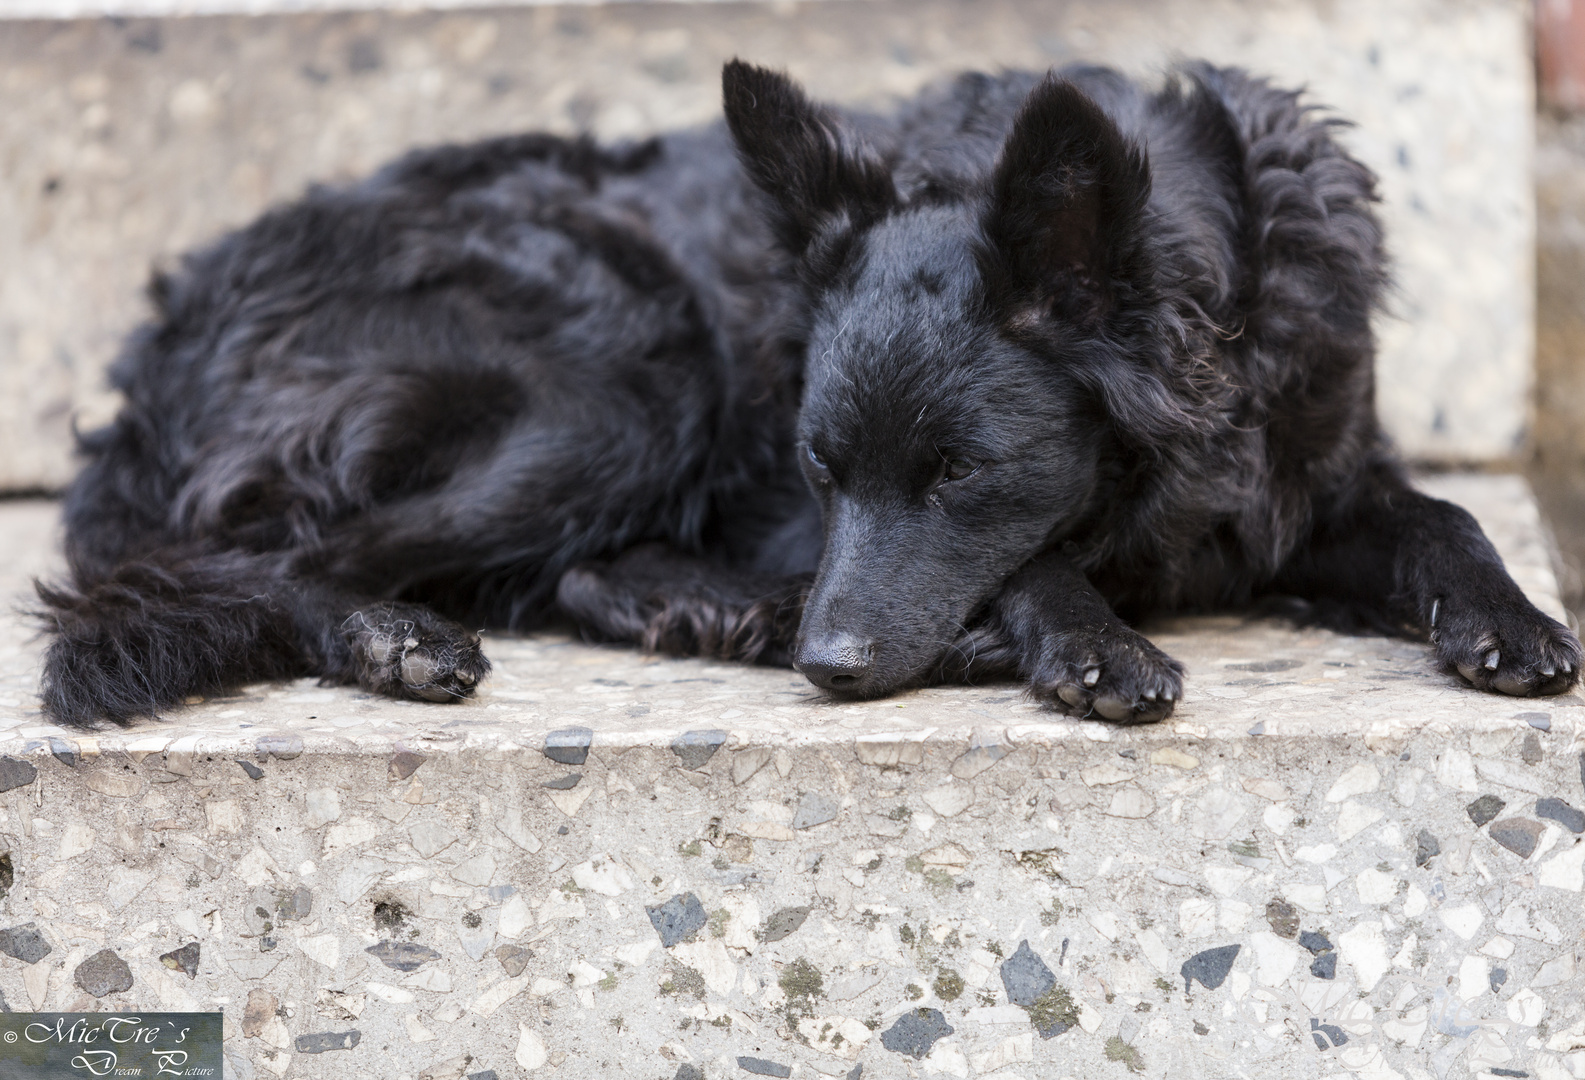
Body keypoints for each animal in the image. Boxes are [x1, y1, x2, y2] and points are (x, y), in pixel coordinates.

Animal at [30, 63, 1578, 729]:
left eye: (958, 475)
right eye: (825, 471)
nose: (829, 667)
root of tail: (159, 351)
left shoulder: (1312, 479)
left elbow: (1444, 516)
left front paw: (1507, 621)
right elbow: (1036, 569)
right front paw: (1083, 639)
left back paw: (715, 609)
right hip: (624, 379)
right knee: (247, 563)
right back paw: (393, 639)